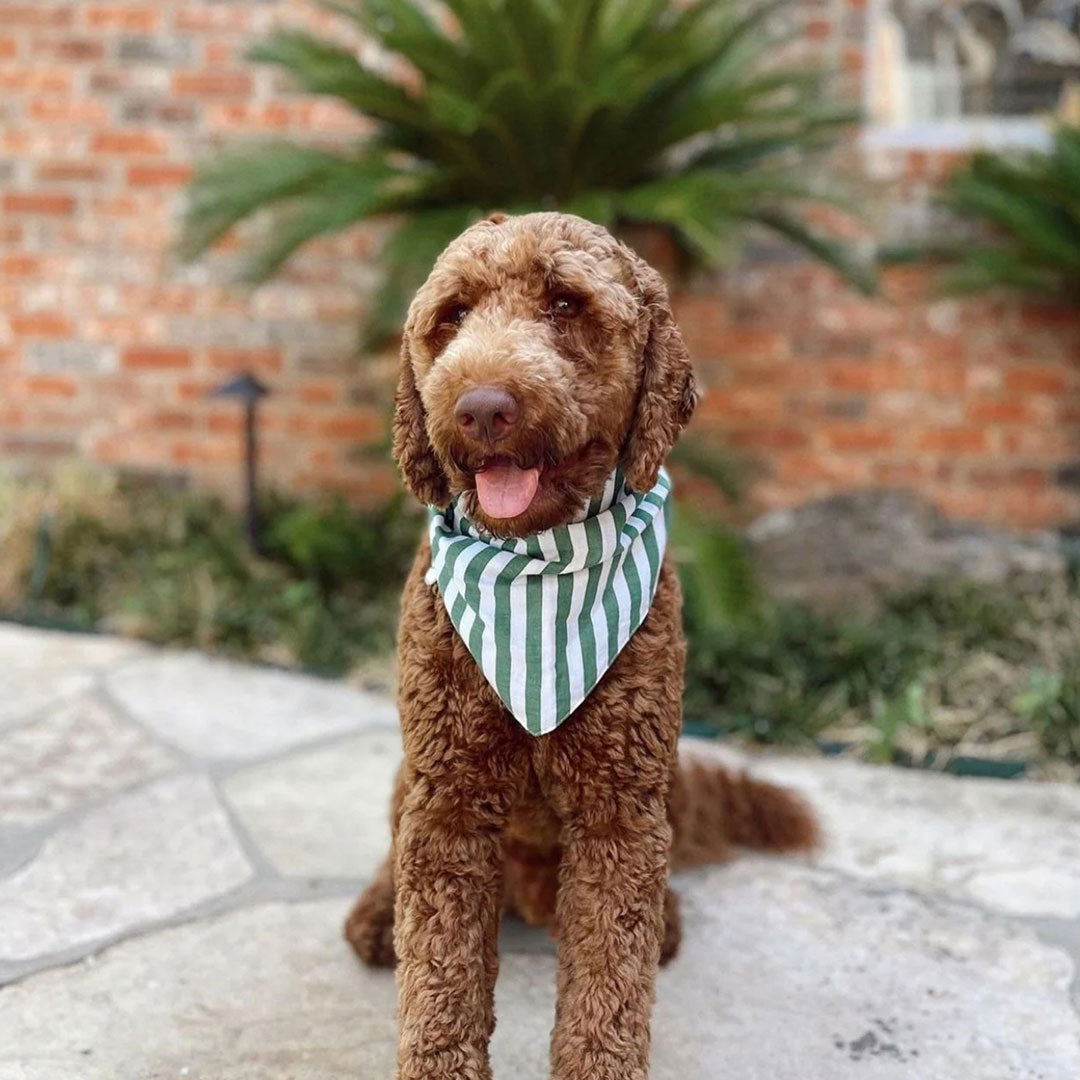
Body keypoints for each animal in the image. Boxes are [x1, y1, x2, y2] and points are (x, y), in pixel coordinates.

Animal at [345, 212, 816, 1080]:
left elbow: (609, 982)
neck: (537, 572)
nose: (481, 409)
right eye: (452, 316)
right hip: (412, 774)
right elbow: (439, 980)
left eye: (565, 303)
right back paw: (374, 914)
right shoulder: (448, 803)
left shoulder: (618, 812)